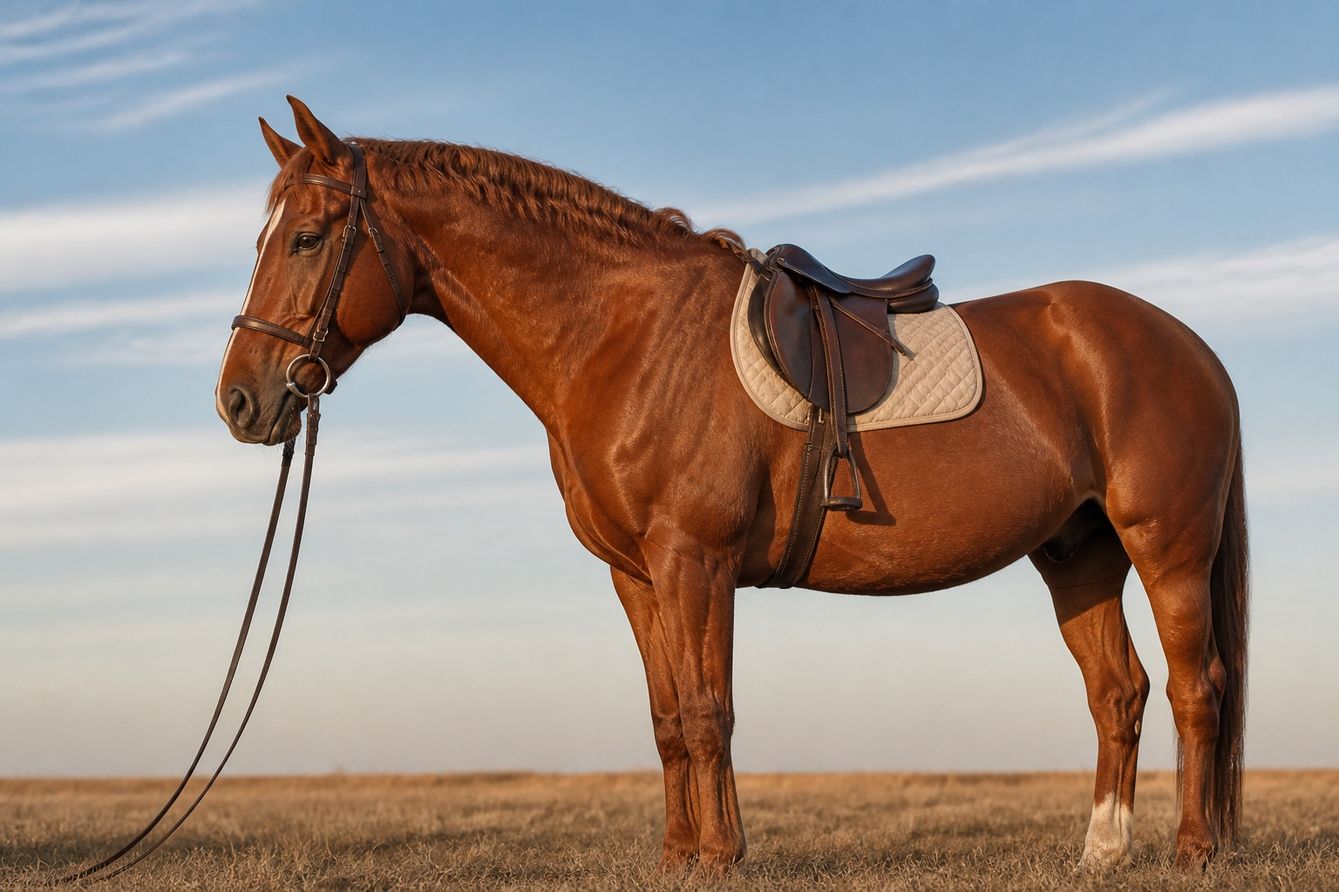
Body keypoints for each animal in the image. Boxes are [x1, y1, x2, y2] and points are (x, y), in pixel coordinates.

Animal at [216, 97, 1247, 874]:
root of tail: (1189, 347)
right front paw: (678, 856)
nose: (240, 401)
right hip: (1077, 555)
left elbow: (711, 712)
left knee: (1197, 685)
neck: (626, 337)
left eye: (307, 237)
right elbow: (669, 717)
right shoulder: (635, 575)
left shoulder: (694, 562)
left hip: (1166, 549)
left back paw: (1195, 850)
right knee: (1118, 692)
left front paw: (721, 856)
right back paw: (1103, 852)